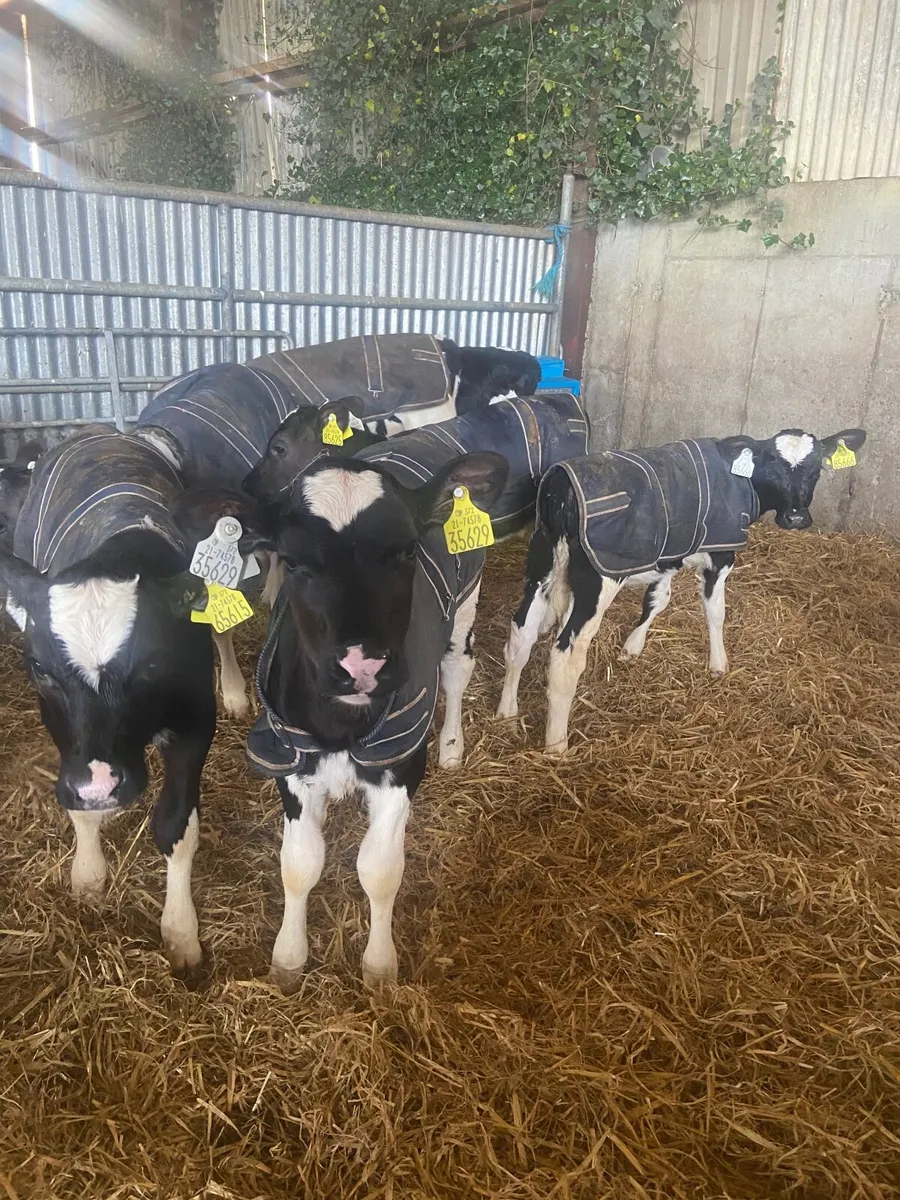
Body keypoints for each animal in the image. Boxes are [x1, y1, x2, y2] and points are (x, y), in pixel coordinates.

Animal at [1, 425, 217, 972]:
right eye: (40, 668)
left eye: (152, 665)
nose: (100, 786)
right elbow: (79, 808)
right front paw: (88, 874)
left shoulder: (196, 720)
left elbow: (174, 824)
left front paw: (180, 932)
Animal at [172, 450, 509, 988]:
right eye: (291, 561)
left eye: (407, 551)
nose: (360, 665)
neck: (339, 730)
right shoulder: (291, 762)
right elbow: (298, 863)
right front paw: (289, 957)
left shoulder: (400, 765)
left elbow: (380, 869)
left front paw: (379, 965)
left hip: (466, 599)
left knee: (458, 668)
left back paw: (453, 746)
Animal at [496, 427, 867, 754]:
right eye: (772, 465)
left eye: (816, 469)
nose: (796, 518)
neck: (740, 479)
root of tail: (560, 484)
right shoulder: (721, 554)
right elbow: (715, 612)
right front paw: (718, 664)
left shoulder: (670, 553)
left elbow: (658, 600)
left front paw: (633, 646)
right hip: (598, 580)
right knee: (566, 655)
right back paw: (557, 746)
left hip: (543, 557)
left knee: (521, 634)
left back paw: (507, 714)